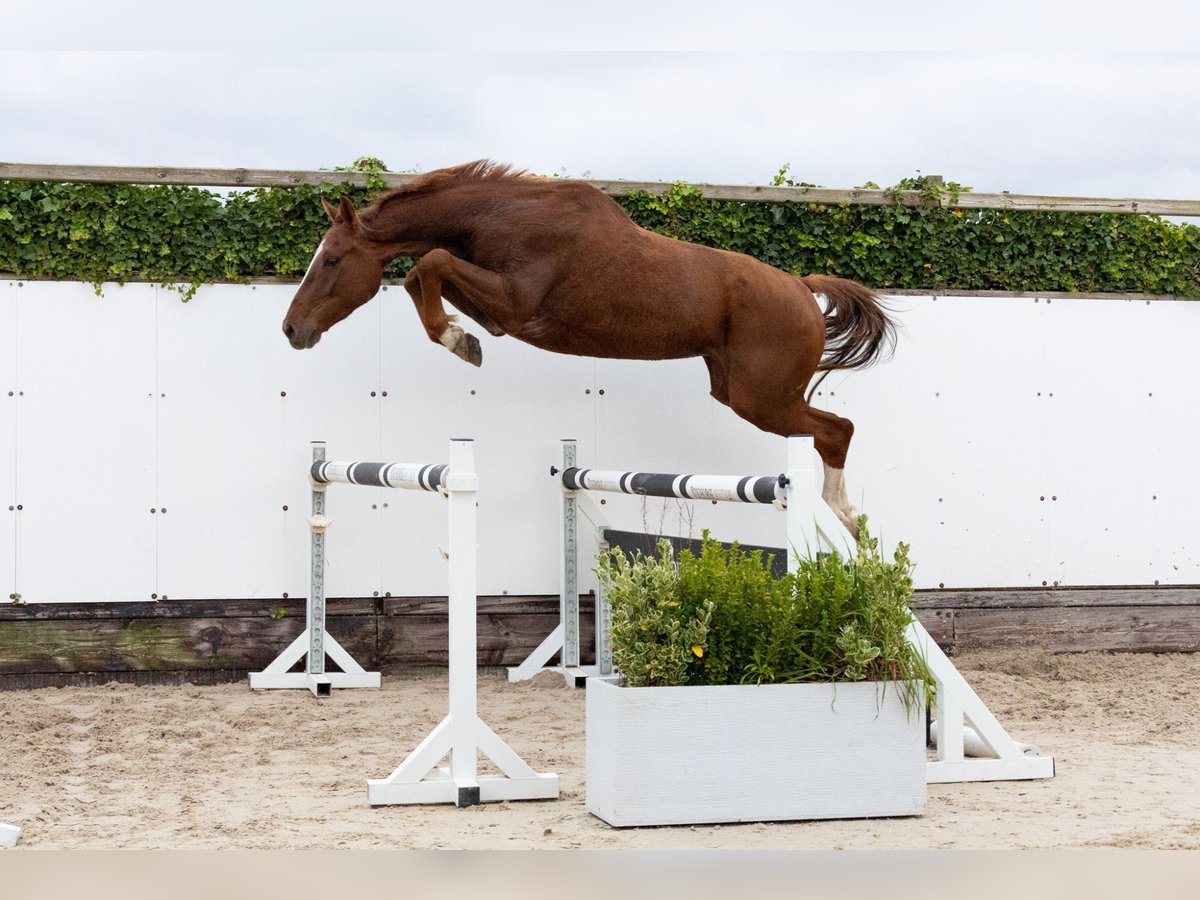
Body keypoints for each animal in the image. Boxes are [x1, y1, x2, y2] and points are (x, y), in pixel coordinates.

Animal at [281, 160, 896, 536]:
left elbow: (428, 264)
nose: (291, 330)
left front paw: (460, 342)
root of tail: (801, 288)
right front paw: (464, 338)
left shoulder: (516, 303)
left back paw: (845, 519)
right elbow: (426, 275)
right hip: (737, 391)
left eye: (331, 259)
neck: (500, 216)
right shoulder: (501, 308)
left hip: (761, 397)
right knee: (829, 430)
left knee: (836, 430)